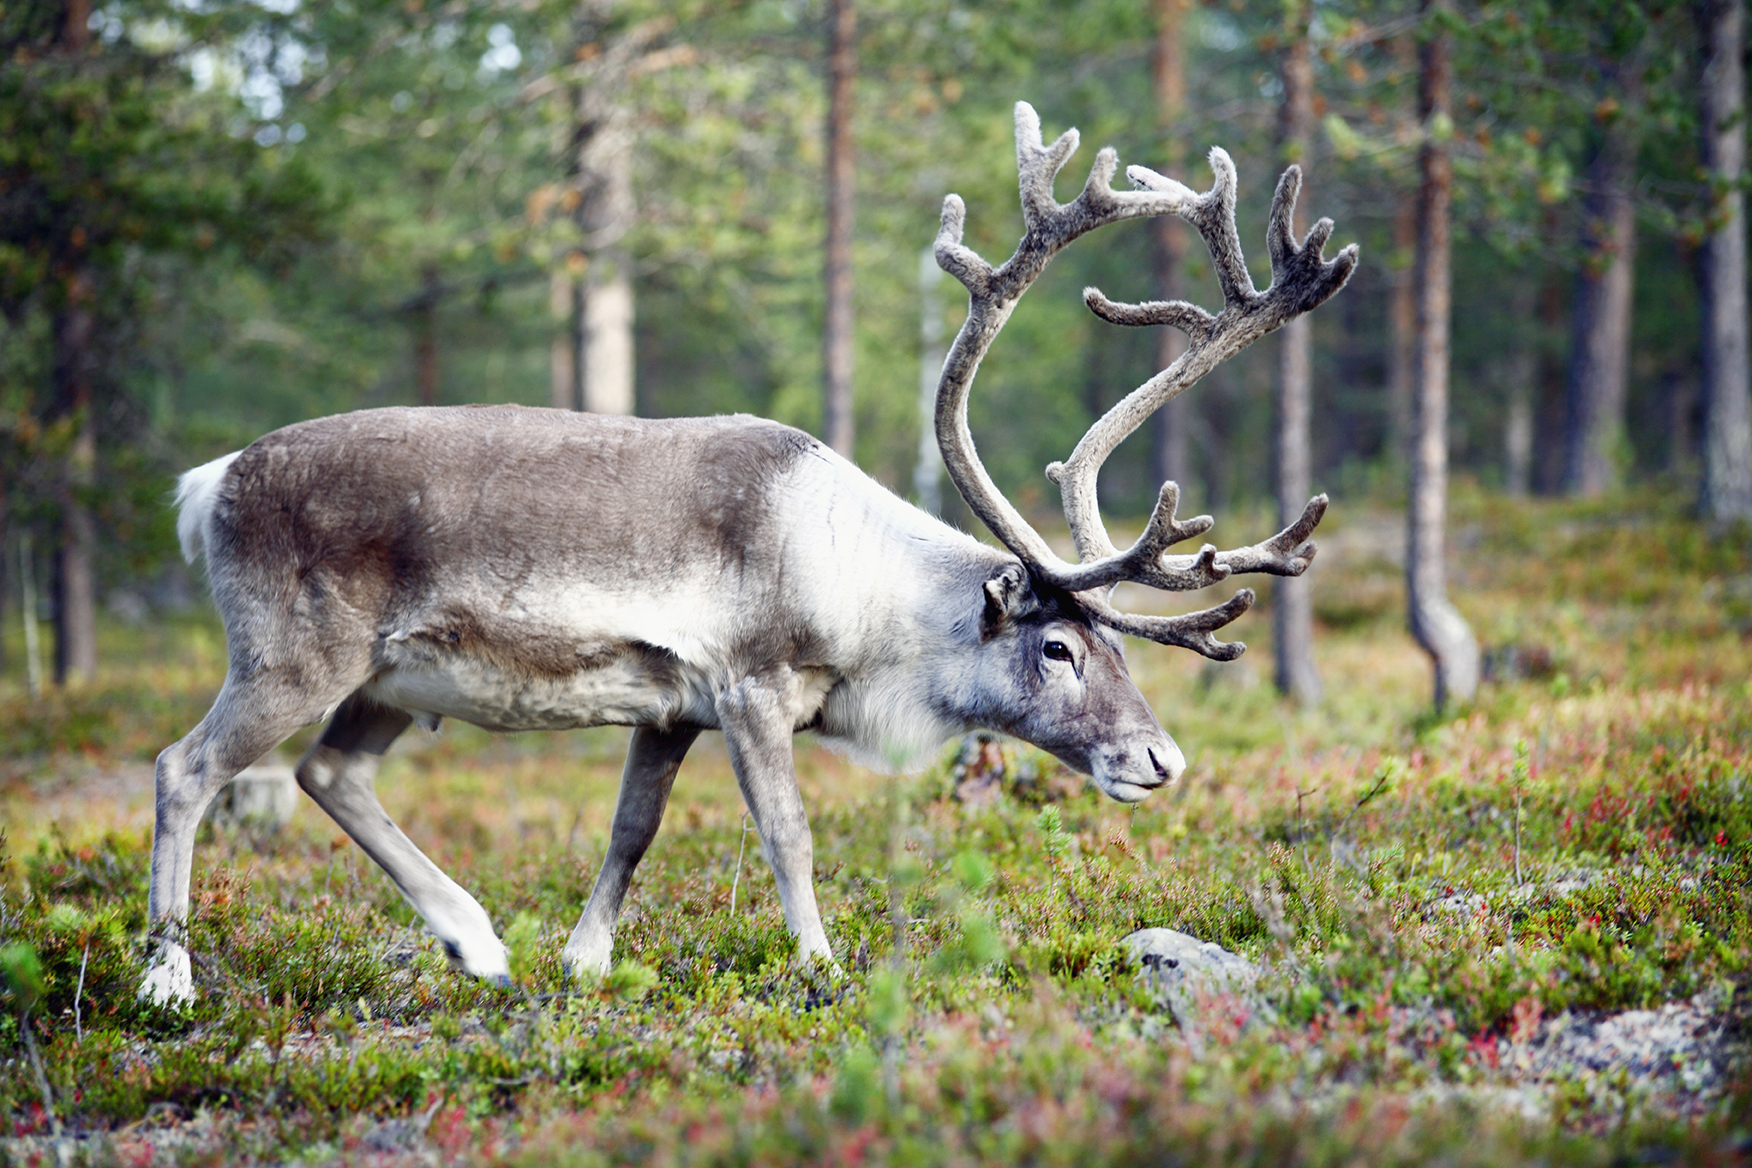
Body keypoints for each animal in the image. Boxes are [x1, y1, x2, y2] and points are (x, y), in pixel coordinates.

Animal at [140, 102, 1356, 1005]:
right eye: (1058, 646)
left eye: (1117, 644)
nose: (1161, 760)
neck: (866, 602)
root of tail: (209, 484)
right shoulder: (751, 685)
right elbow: (790, 834)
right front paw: (821, 968)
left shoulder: (669, 709)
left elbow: (631, 832)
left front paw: (582, 963)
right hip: (292, 653)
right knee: (186, 767)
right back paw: (168, 980)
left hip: (389, 678)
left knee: (328, 773)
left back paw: (477, 943)